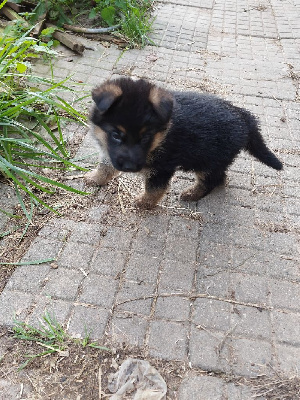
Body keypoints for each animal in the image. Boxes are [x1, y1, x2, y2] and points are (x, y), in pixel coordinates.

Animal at [85, 77, 284, 211]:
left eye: (146, 137)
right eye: (116, 135)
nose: (129, 167)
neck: (161, 138)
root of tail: (245, 117)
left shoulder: (162, 168)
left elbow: (154, 189)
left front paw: (143, 203)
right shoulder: (111, 154)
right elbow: (105, 167)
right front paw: (94, 178)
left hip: (209, 161)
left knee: (211, 180)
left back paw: (192, 193)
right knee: (220, 177)